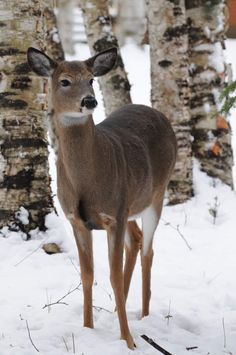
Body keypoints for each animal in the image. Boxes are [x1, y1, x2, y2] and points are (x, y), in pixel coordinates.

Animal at [26, 47, 176, 350]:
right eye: (64, 81)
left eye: (91, 79)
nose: (89, 100)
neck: (87, 180)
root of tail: (158, 114)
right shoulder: (78, 219)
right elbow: (88, 274)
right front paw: (87, 329)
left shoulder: (113, 216)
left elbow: (113, 275)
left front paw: (128, 340)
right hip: (130, 204)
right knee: (136, 240)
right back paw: (120, 309)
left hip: (156, 194)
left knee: (148, 250)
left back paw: (143, 316)